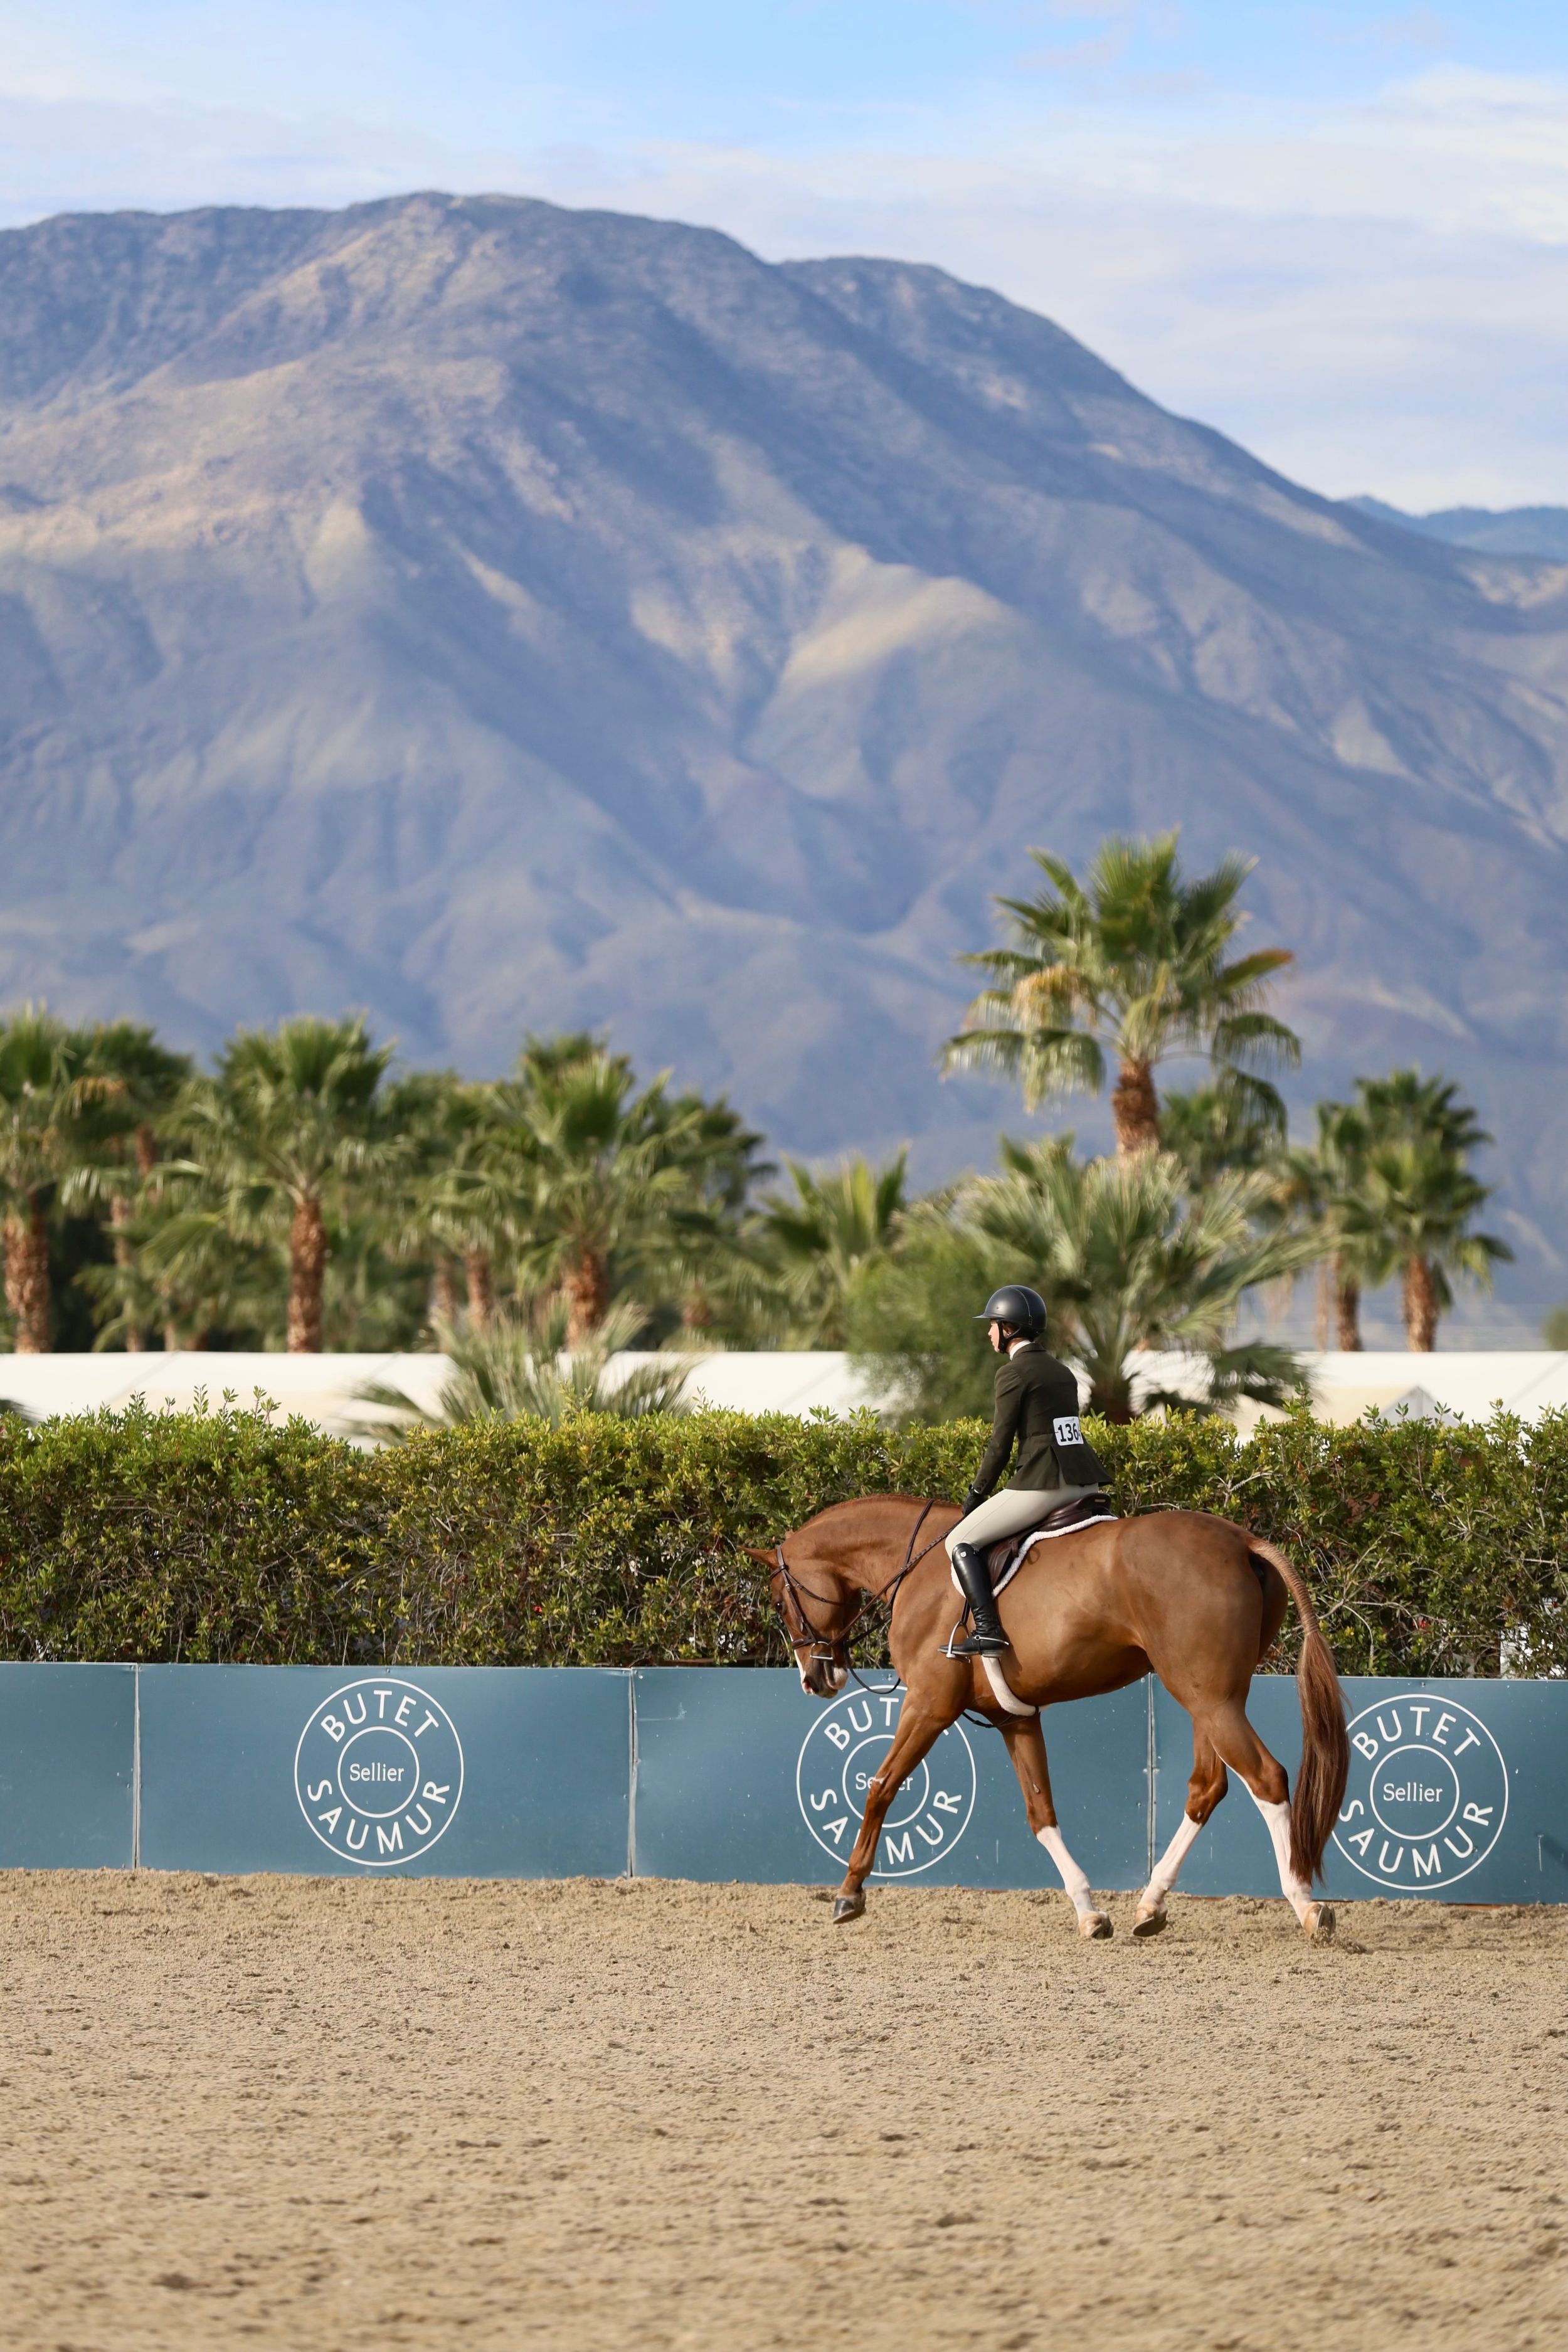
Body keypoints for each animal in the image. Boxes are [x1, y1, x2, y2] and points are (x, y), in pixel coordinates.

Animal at [755, 1494, 1349, 1942]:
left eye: (781, 1602)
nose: (815, 1680)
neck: (919, 1567)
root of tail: (1240, 1540)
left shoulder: (927, 1704)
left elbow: (881, 1786)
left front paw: (849, 1893)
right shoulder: (1013, 1718)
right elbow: (1041, 1813)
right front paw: (1089, 1912)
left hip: (1212, 1700)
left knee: (1266, 1778)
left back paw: (1306, 1905)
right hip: (1210, 1697)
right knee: (1208, 1786)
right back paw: (1151, 1905)